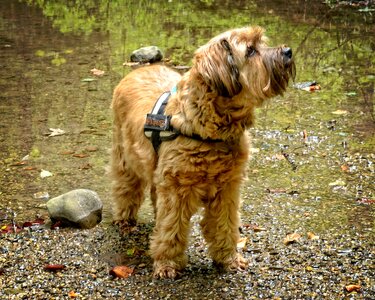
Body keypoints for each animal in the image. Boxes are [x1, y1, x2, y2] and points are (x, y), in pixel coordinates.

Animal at [110, 25, 296, 278]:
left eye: (262, 43)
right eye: (250, 51)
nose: (288, 51)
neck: (210, 129)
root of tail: (137, 71)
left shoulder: (228, 190)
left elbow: (225, 226)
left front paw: (228, 259)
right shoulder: (176, 191)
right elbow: (171, 229)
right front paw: (167, 263)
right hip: (125, 158)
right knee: (126, 189)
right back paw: (125, 220)